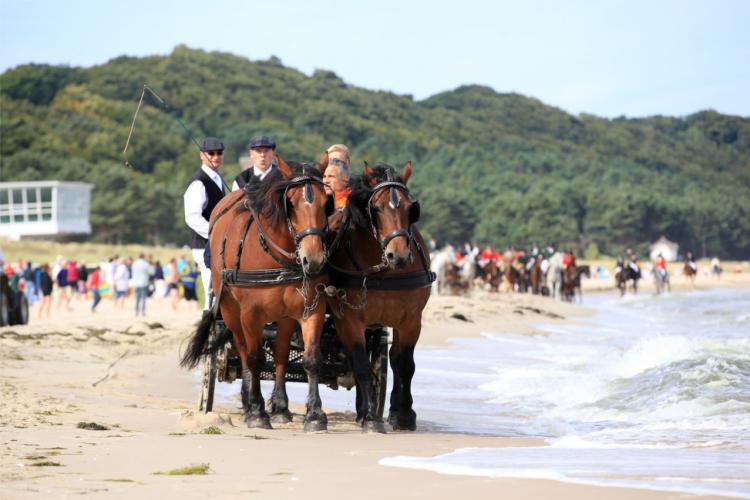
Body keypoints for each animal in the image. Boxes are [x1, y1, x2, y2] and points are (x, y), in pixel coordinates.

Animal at [179, 158, 332, 432]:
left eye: (327, 202)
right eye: (291, 203)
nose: (313, 260)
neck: (279, 256)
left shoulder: (312, 308)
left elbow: (311, 358)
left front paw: (315, 415)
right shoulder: (251, 314)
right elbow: (254, 359)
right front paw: (257, 412)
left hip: (284, 317)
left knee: (280, 352)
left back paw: (280, 407)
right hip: (230, 310)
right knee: (243, 349)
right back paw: (249, 402)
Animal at [326, 162, 432, 432]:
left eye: (410, 209)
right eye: (376, 208)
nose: (399, 255)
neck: (383, 270)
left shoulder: (411, 320)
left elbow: (404, 363)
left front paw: (404, 414)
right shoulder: (349, 320)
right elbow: (362, 365)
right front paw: (371, 418)